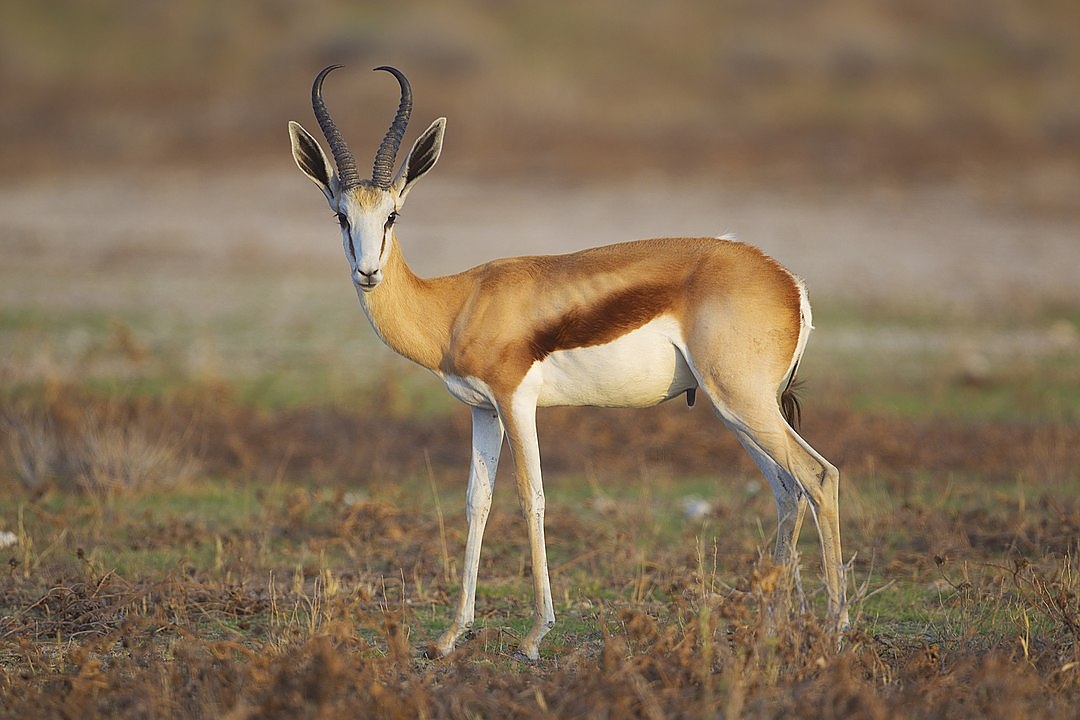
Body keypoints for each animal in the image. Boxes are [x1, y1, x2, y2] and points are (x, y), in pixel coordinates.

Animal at [291, 64, 846, 660]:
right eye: (340, 216)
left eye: (392, 214)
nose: (368, 272)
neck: (457, 303)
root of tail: (787, 280)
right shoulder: (482, 411)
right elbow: (476, 502)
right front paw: (450, 635)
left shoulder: (516, 402)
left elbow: (530, 497)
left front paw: (535, 635)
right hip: (736, 411)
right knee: (786, 490)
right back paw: (770, 629)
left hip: (742, 403)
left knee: (818, 476)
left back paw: (835, 631)